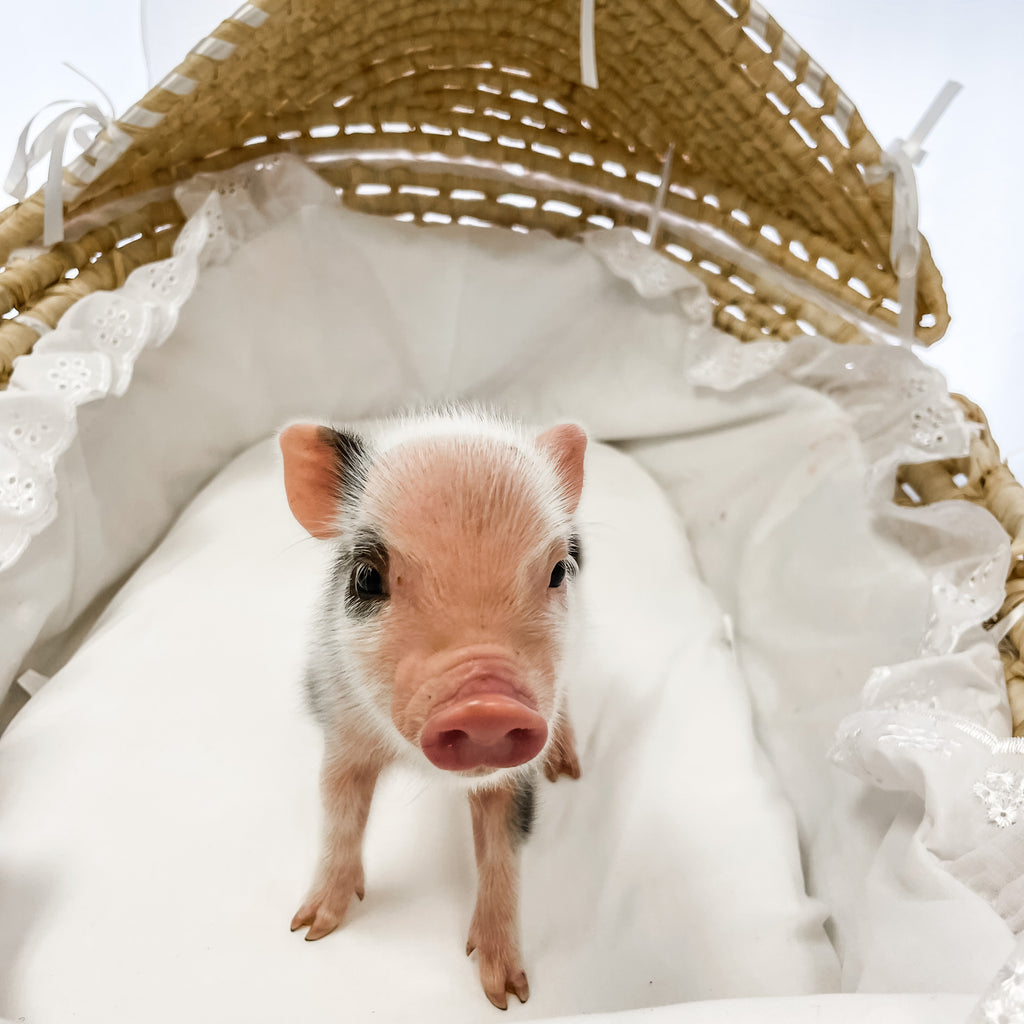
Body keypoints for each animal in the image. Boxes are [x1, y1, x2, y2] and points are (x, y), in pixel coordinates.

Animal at [279, 408, 587, 1009]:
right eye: (366, 577)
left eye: (558, 571)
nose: (486, 703)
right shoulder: (341, 728)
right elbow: (338, 814)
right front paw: (308, 929)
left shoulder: (513, 774)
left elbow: (504, 849)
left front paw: (507, 995)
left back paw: (569, 770)